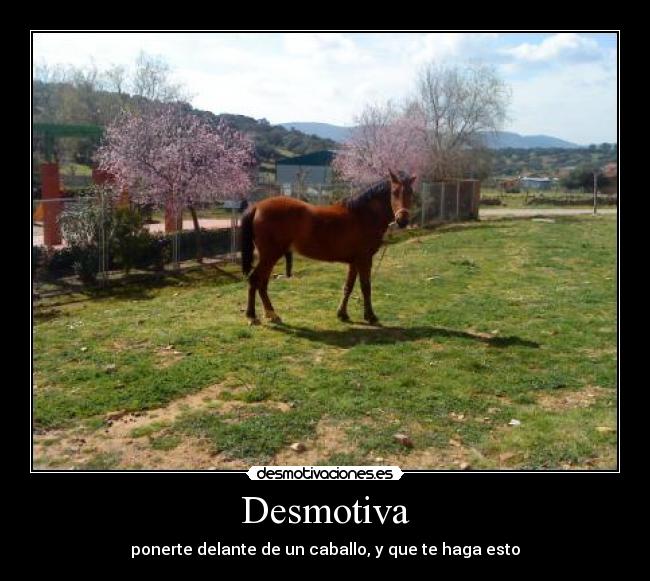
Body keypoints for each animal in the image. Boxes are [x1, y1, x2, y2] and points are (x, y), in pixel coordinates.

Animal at [240, 170, 416, 325]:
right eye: (394, 192)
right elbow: (366, 287)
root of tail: (257, 207)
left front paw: (342, 314)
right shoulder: (364, 259)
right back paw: (252, 316)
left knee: (262, 283)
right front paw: (370, 316)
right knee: (255, 280)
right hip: (270, 255)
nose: (403, 220)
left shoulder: (354, 261)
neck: (363, 215)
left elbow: (348, 286)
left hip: (270, 256)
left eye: (411, 193)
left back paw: (271, 314)